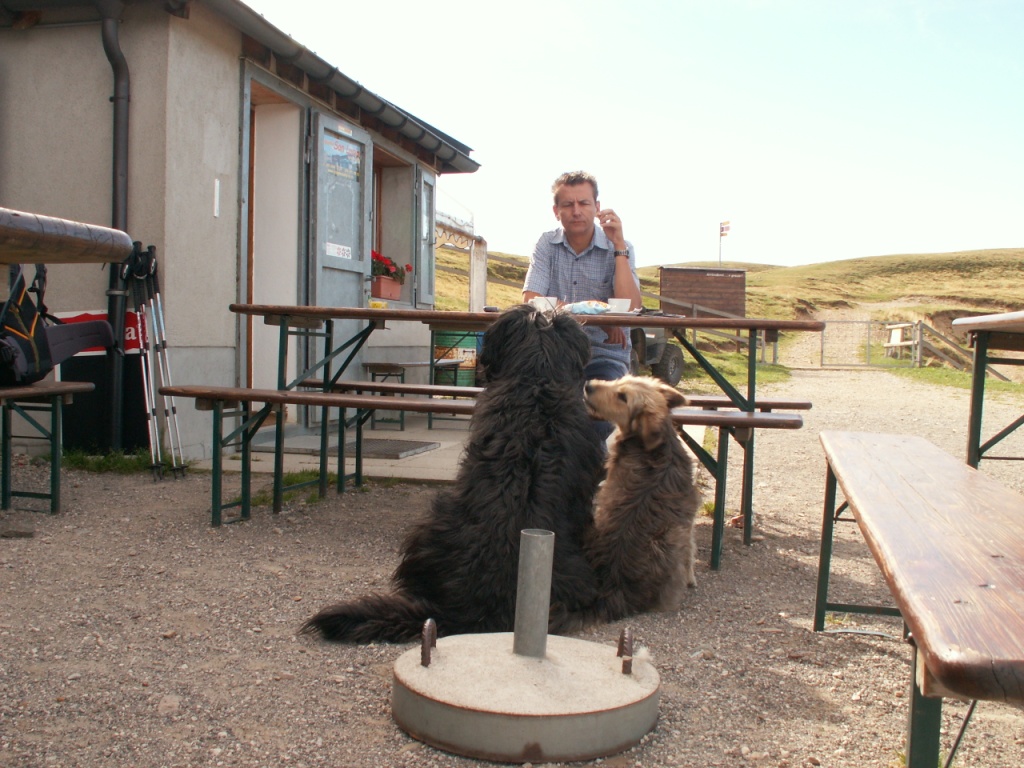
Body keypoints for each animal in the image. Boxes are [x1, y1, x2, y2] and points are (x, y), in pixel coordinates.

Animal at [573, 374, 702, 625]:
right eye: (620, 379)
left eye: (623, 397)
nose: (588, 385)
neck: (656, 447)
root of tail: (612, 584)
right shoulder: (689, 515)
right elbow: (692, 547)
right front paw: (692, 577)